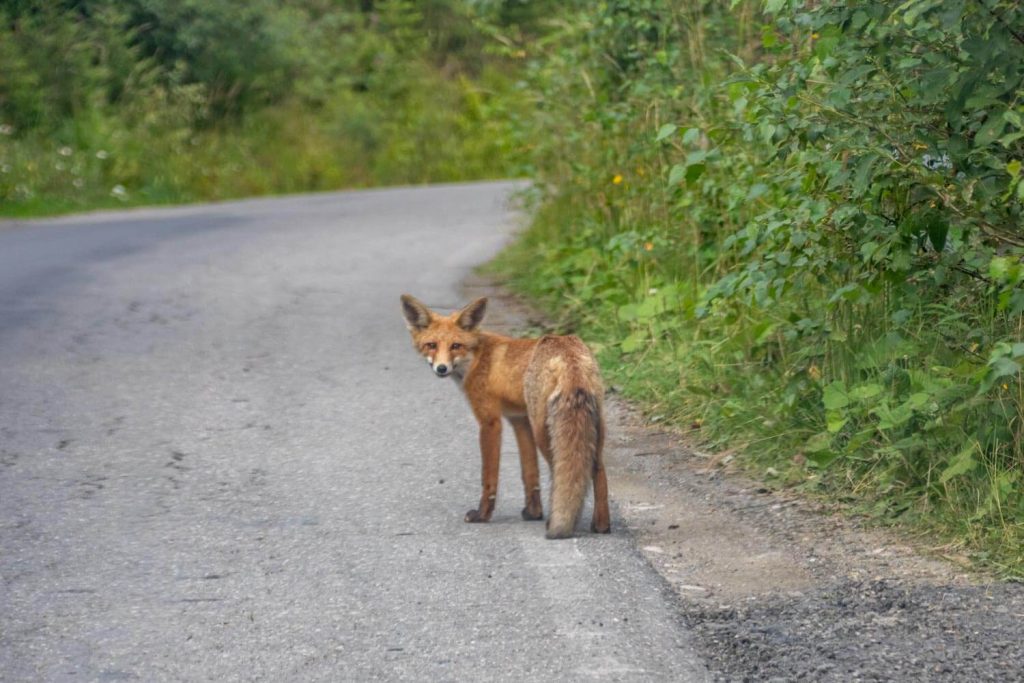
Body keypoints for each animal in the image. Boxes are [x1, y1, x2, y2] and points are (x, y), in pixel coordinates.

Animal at [400, 294, 610, 539]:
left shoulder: (490, 422)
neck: (477, 358)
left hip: (546, 431)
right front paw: (533, 512)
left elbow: (489, 477)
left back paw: (559, 522)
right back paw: (602, 525)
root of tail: (566, 347)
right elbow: (529, 472)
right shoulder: (519, 420)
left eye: (456, 346)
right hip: (589, 428)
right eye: (431, 345)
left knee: (563, 471)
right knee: (599, 471)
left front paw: (483, 515)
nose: (441, 369)